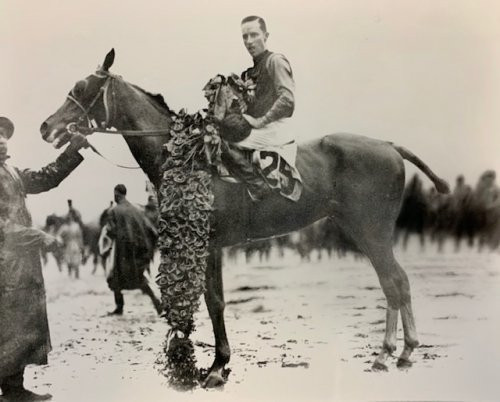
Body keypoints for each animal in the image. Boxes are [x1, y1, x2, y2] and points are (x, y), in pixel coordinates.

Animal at [41, 48, 452, 388]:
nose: (47, 126)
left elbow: (214, 302)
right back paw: (402, 351)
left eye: (81, 87)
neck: (187, 157)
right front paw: (212, 360)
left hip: (371, 230)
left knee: (394, 282)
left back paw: (389, 352)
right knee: (396, 282)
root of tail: (389, 145)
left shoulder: (208, 244)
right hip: (364, 230)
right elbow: (213, 300)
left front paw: (216, 366)